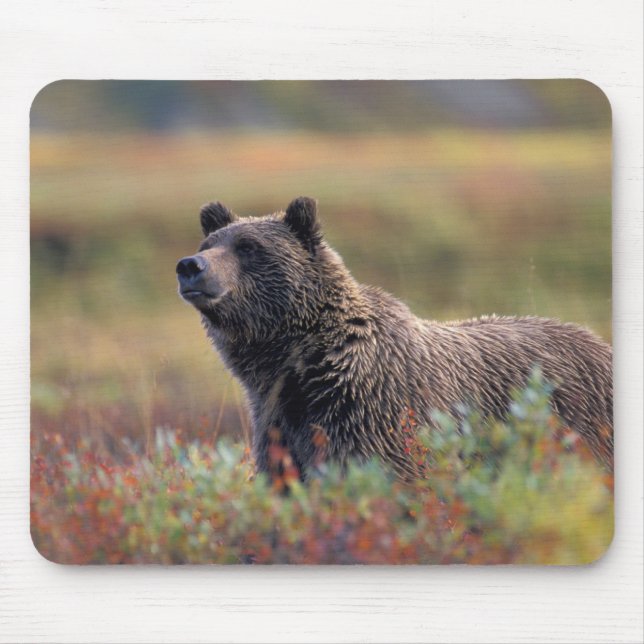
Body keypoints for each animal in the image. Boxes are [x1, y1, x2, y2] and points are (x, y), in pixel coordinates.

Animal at [176, 197, 613, 479]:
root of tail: (599, 342)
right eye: (209, 243)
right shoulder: (280, 422)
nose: (190, 266)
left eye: (248, 246)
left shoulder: (374, 415)